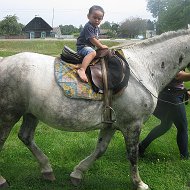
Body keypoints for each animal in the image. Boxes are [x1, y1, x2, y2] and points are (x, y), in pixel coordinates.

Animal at [1, 29, 190, 190]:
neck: (144, 67)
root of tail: (4, 61)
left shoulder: (110, 124)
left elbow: (100, 150)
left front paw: (77, 174)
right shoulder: (133, 125)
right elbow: (132, 155)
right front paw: (139, 183)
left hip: (31, 113)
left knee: (26, 136)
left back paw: (47, 170)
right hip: (9, 115)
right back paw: (3, 180)